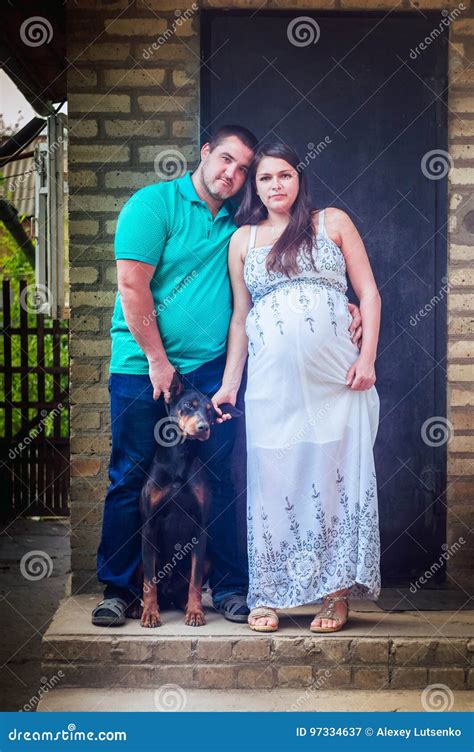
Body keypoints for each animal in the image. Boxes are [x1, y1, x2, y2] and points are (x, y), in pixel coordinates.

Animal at [137, 374, 241, 628]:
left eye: (210, 412)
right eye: (188, 405)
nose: (204, 428)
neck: (180, 458)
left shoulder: (200, 527)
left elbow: (195, 581)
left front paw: (194, 612)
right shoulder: (149, 525)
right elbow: (149, 581)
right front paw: (150, 614)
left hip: (208, 561)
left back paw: (184, 604)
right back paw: (137, 608)